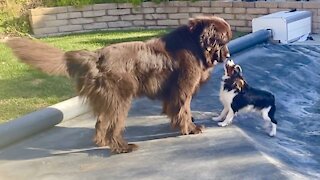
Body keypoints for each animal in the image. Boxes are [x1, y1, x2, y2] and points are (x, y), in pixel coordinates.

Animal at [6, 15, 232, 153]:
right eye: (223, 41)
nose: (228, 55)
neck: (195, 44)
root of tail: (95, 56)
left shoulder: (172, 93)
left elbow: (175, 110)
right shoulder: (183, 88)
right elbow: (183, 109)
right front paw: (190, 128)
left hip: (109, 100)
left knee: (100, 124)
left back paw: (104, 143)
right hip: (120, 99)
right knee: (111, 125)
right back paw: (122, 147)